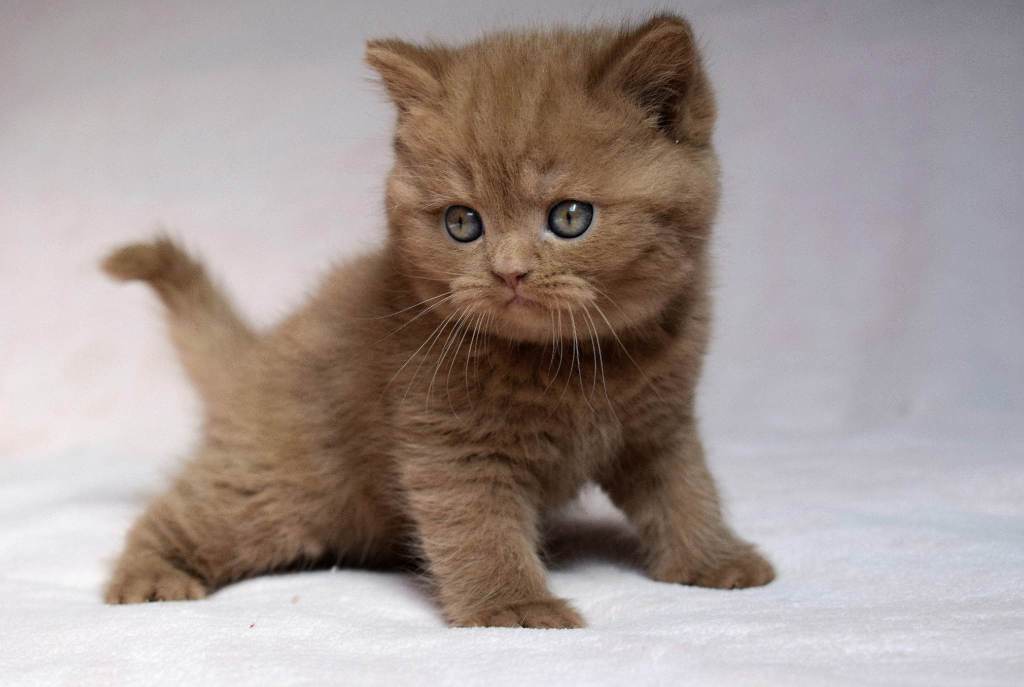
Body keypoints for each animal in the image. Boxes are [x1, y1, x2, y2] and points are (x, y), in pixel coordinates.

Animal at [101, 13, 774, 628]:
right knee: (191, 510)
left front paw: (715, 560)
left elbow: (686, 489)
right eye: (461, 222)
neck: (573, 362)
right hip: (276, 483)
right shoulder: (450, 441)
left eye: (570, 217)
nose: (509, 272)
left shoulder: (662, 421)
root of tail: (254, 356)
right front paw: (515, 606)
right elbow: (476, 526)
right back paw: (150, 576)